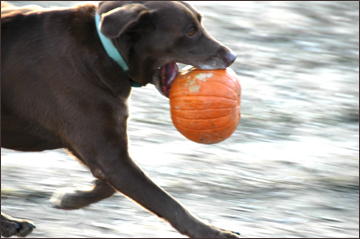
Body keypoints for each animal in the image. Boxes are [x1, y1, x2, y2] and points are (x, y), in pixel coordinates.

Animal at [0, 1, 239, 237]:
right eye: (190, 32)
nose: (232, 57)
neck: (105, 50)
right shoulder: (109, 157)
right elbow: (167, 203)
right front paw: (214, 232)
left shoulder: (98, 149)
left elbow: (107, 187)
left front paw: (73, 197)